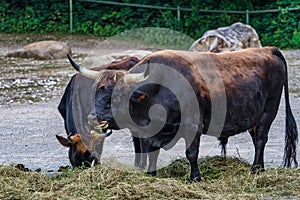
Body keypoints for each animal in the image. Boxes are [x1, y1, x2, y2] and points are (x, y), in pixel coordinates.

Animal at [68, 47, 298, 181]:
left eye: (117, 96)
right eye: (96, 90)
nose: (92, 117)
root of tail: (268, 49)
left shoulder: (192, 125)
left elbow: (191, 153)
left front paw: (195, 177)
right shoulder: (150, 132)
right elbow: (151, 151)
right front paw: (151, 173)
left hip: (269, 109)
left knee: (260, 138)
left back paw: (256, 169)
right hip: (253, 115)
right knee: (255, 136)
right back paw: (259, 167)